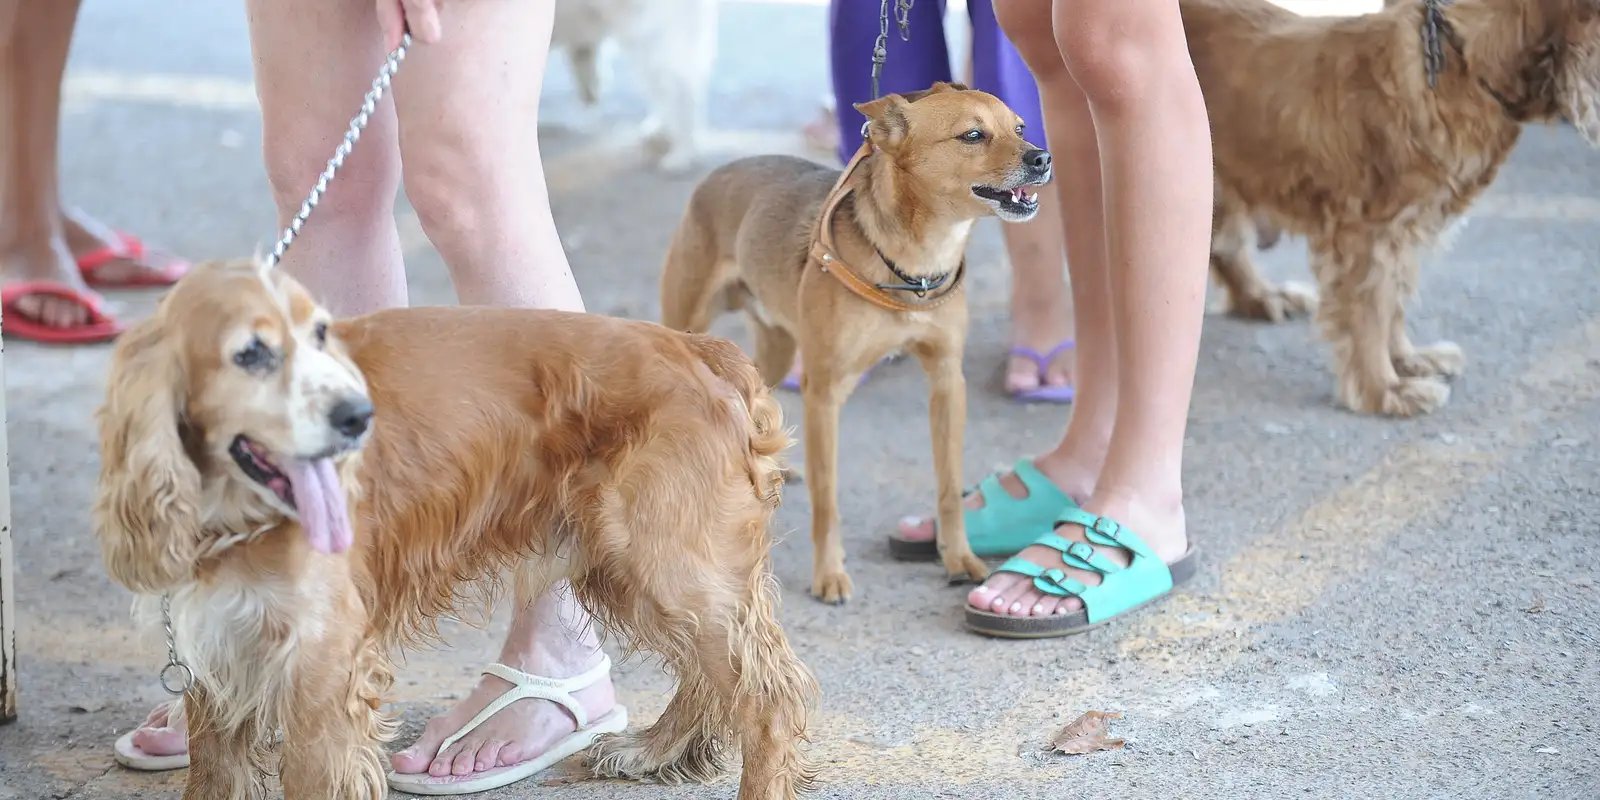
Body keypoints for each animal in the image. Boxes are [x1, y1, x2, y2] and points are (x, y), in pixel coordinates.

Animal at [90, 259, 812, 796]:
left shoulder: (321, 662)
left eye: (320, 334)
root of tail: (701, 350)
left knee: (767, 698)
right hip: (635, 566)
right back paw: (653, 749)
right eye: (251, 354)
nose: (359, 416)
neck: (235, 511)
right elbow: (212, 772)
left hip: (664, 562)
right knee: (715, 676)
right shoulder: (222, 645)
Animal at [556, 0, 720, 172]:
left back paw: (682, 154)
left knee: (682, 94)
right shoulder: (582, 44)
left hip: (654, 42)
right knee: (669, 91)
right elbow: (588, 85)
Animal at [652, 84, 1049, 601]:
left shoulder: (946, 381)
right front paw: (829, 574)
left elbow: (948, 485)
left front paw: (958, 557)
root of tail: (717, 174)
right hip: (690, 327)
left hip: (777, 350)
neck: (916, 263)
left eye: (1019, 127)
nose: (1042, 157)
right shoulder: (825, 394)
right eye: (973, 135)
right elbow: (827, 498)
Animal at [1190, 0, 1600, 416]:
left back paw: (1262, 296)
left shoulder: (1403, 232)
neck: (1461, 62)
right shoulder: (1365, 234)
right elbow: (1370, 312)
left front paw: (1407, 361)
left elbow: (1393, 303)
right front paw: (1384, 389)